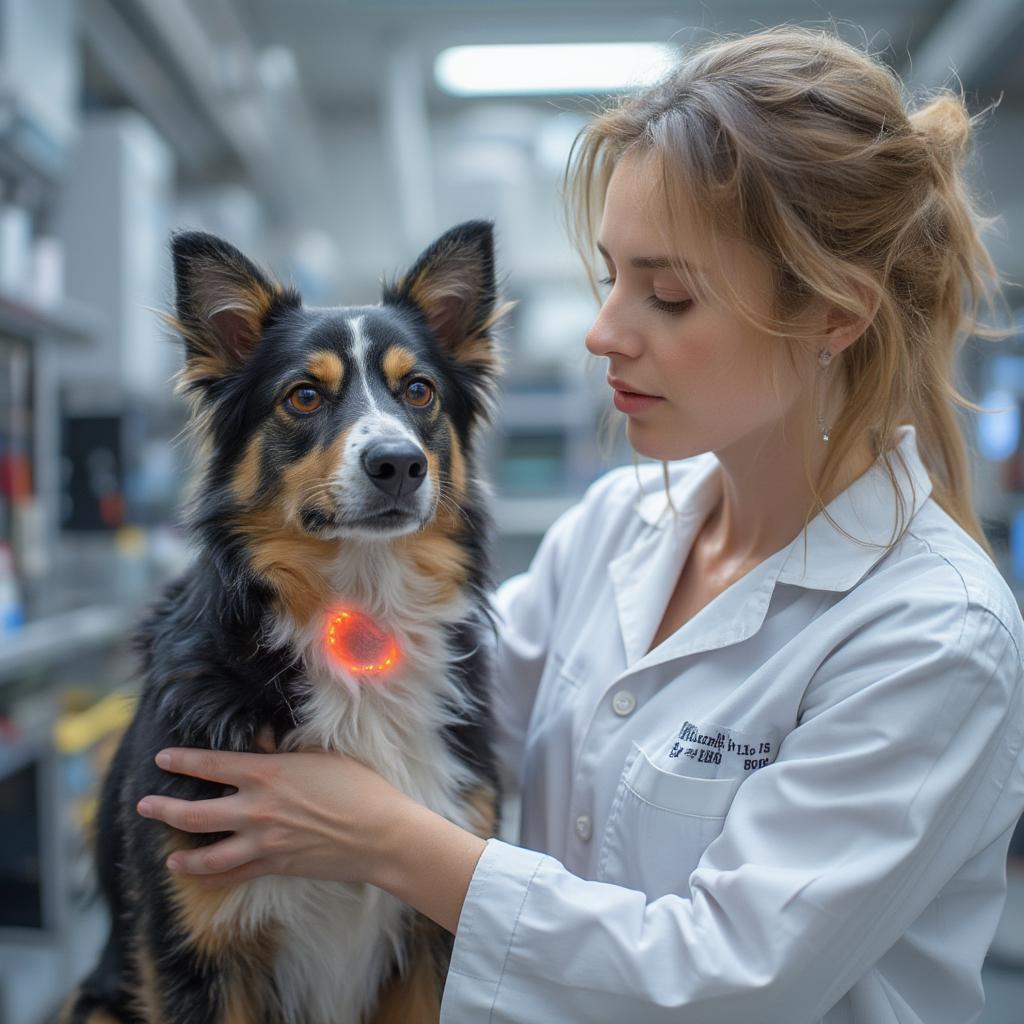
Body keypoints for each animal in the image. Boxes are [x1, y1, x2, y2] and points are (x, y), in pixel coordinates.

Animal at [61, 220, 509, 1019]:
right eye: (303, 396)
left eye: (418, 390)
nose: (399, 463)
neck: (360, 612)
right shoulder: (196, 945)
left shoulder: (432, 930)